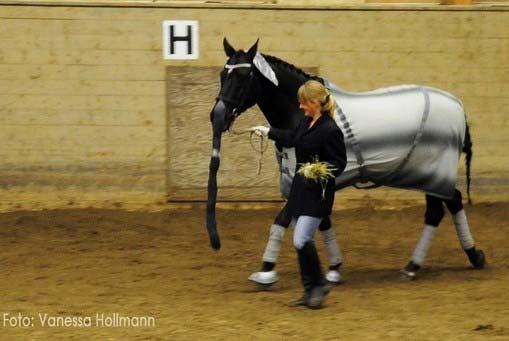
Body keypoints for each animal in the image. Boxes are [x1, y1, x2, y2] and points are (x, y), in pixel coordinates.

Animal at [206, 38, 484, 280]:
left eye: (244, 76)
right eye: (223, 73)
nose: (217, 115)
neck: (303, 116)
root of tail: (458, 106)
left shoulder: (307, 179)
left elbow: (283, 219)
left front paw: (266, 269)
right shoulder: (315, 182)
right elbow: (321, 221)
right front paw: (334, 267)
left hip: (434, 174)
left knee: (443, 207)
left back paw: (431, 263)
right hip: (429, 177)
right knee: (448, 204)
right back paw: (453, 259)